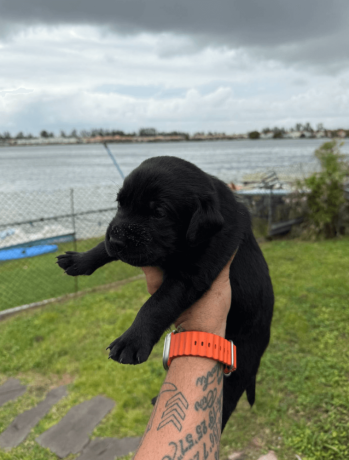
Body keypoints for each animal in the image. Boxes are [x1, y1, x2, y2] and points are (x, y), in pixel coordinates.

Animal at [57, 156, 274, 430]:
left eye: (159, 213)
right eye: (120, 203)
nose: (117, 242)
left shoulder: (190, 274)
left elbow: (155, 304)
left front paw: (132, 339)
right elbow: (105, 244)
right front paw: (81, 259)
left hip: (240, 364)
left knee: (225, 405)